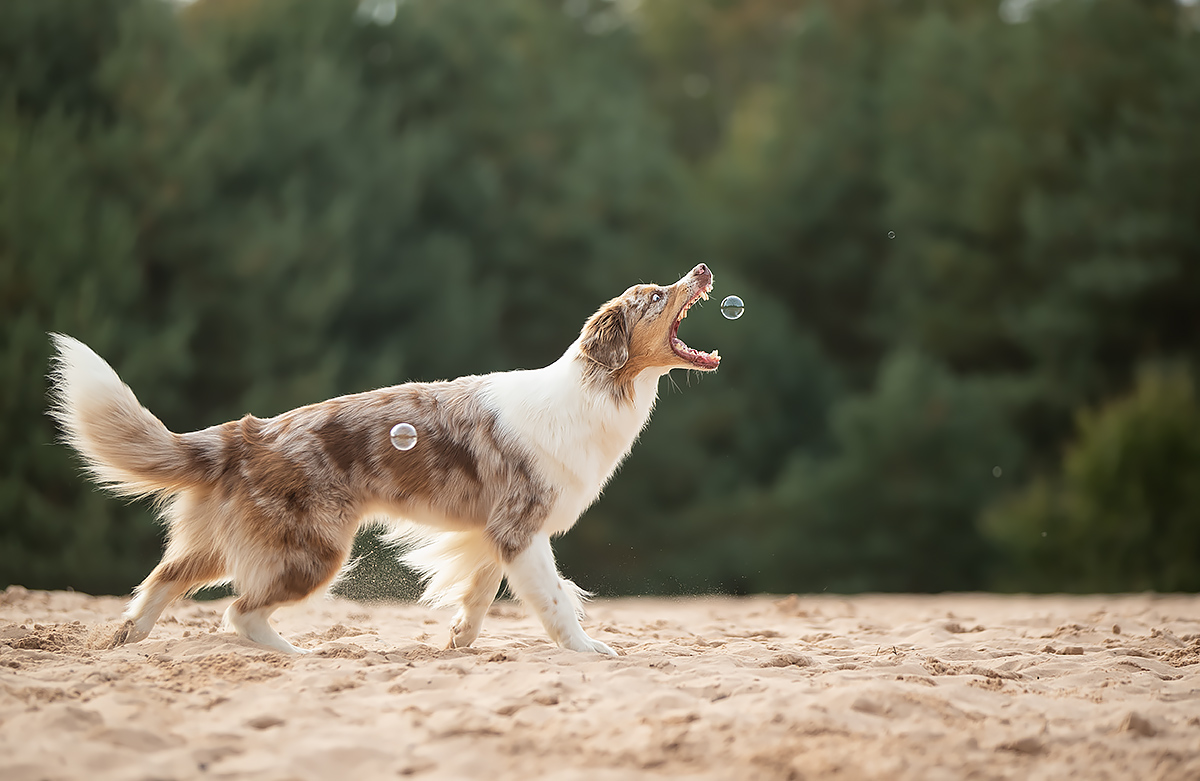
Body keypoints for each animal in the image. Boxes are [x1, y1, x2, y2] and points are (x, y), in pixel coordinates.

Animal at [49, 262, 720, 652]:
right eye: (656, 296)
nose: (703, 267)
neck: (594, 390)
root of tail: (249, 432)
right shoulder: (521, 530)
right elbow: (555, 602)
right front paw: (589, 652)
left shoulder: (494, 535)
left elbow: (479, 596)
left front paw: (458, 645)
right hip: (313, 551)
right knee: (238, 612)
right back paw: (293, 655)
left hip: (236, 541)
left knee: (166, 576)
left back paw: (127, 636)